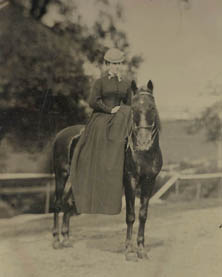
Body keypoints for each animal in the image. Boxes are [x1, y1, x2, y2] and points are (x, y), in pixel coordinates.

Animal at [52, 79, 163, 258]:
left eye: (152, 107)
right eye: (133, 109)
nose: (143, 142)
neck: (144, 154)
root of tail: (61, 134)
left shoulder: (149, 181)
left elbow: (143, 215)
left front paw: (141, 249)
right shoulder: (130, 180)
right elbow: (130, 215)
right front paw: (129, 250)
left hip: (75, 179)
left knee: (67, 203)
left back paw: (66, 239)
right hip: (61, 174)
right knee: (57, 203)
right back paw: (56, 240)